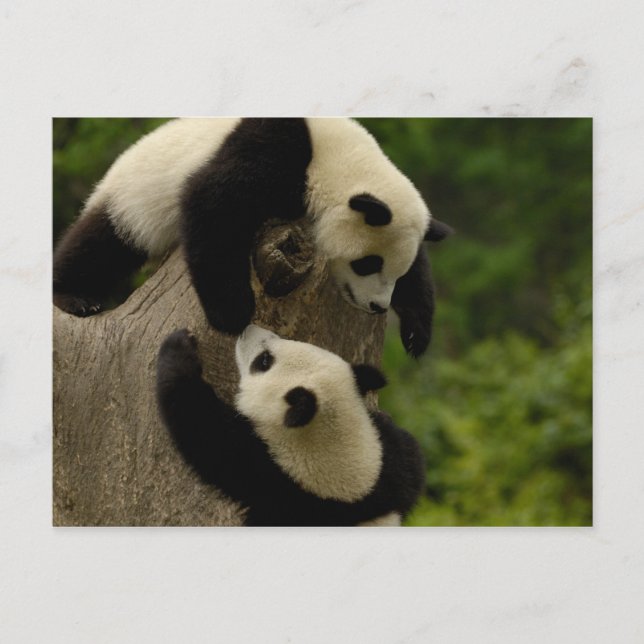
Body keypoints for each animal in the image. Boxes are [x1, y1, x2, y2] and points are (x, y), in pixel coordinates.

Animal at [54, 118, 452, 357]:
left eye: (394, 272)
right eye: (368, 264)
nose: (378, 306)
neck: (340, 161)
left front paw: (416, 334)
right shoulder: (278, 152)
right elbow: (213, 203)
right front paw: (231, 313)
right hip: (132, 201)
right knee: (102, 244)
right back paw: (74, 297)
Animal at [156, 325, 426, 526]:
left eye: (264, 361)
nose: (246, 328)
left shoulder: (271, 478)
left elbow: (203, 428)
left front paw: (179, 347)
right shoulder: (389, 473)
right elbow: (409, 456)